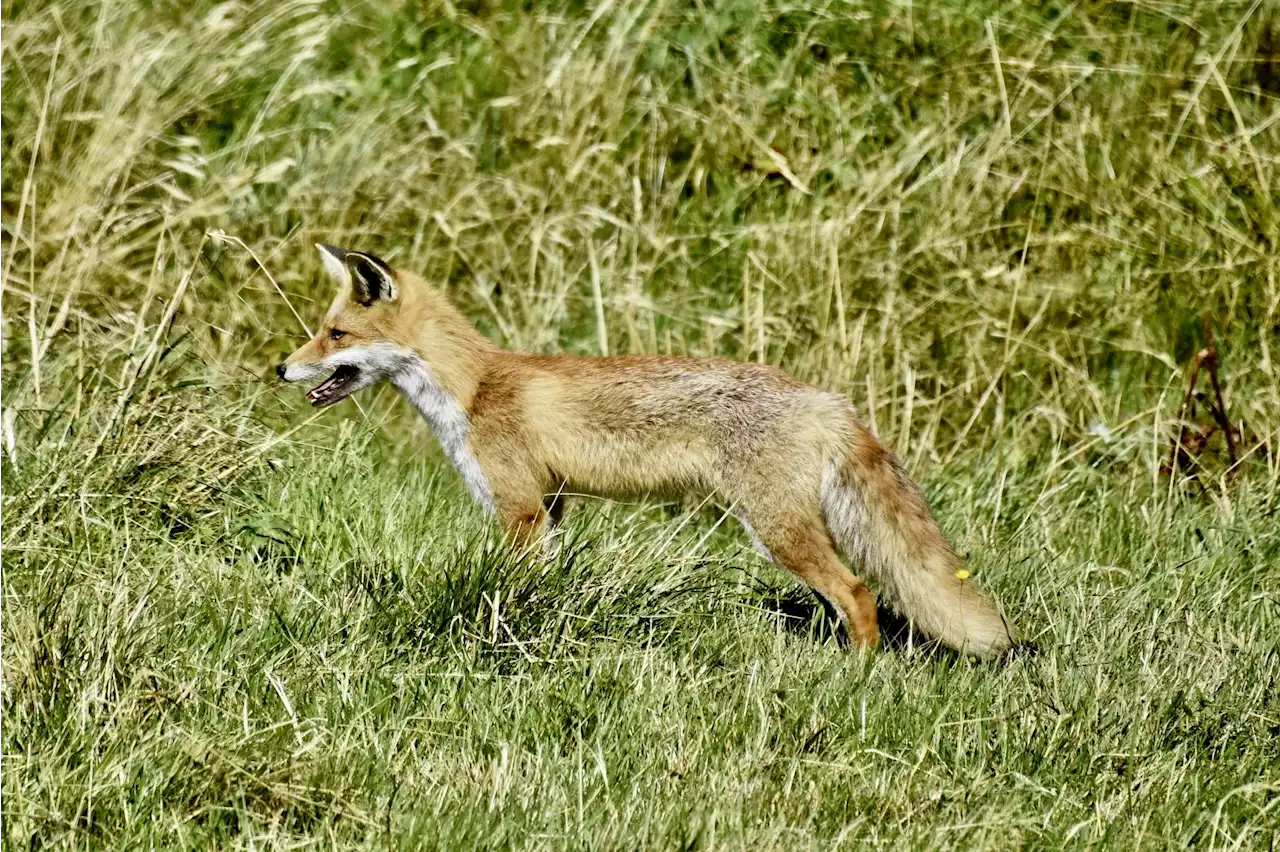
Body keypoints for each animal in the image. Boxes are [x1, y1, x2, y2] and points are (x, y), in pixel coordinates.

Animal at [275, 241, 1013, 652]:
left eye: (335, 334)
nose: (282, 368)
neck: (475, 387)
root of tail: (826, 399)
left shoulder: (518, 510)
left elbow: (505, 592)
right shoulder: (551, 507)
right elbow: (544, 588)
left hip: (775, 529)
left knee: (859, 593)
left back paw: (857, 674)